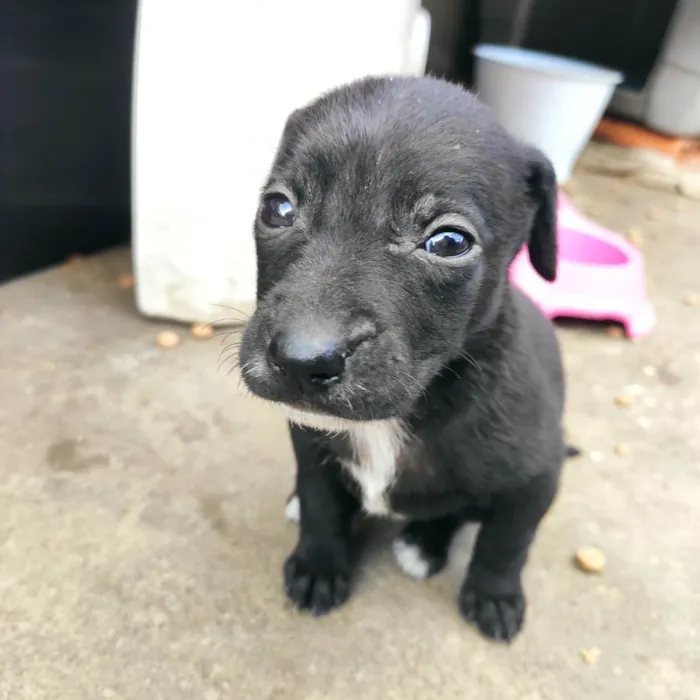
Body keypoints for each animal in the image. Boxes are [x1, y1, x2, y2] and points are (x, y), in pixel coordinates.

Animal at [238, 75, 568, 640]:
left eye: (450, 241)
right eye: (277, 208)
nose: (302, 359)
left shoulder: (535, 479)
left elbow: (506, 543)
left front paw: (494, 596)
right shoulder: (308, 439)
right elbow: (322, 502)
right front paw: (318, 563)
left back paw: (425, 543)